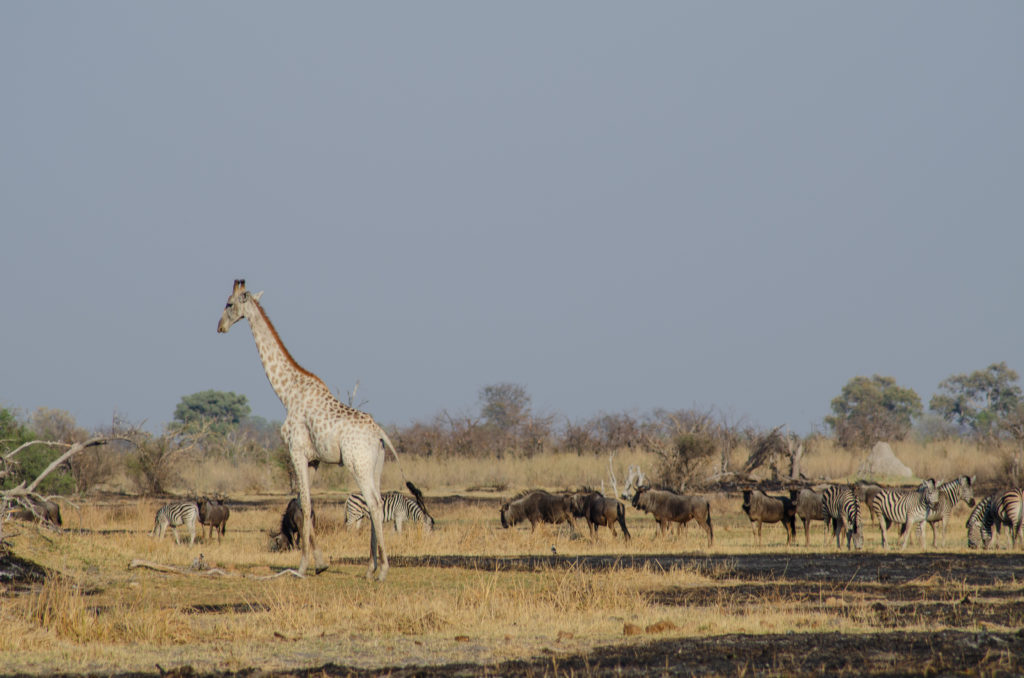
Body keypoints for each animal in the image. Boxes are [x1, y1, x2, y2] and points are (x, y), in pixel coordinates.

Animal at [217, 279, 394, 580]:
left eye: (229, 303)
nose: (220, 326)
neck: (287, 392)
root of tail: (380, 434)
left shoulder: (296, 451)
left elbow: (305, 505)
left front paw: (302, 567)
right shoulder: (314, 460)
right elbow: (305, 506)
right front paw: (321, 563)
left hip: (357, 463)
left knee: (374, 503)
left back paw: (381, 570)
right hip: (376, 465)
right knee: (377, 504)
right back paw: (370, 569)